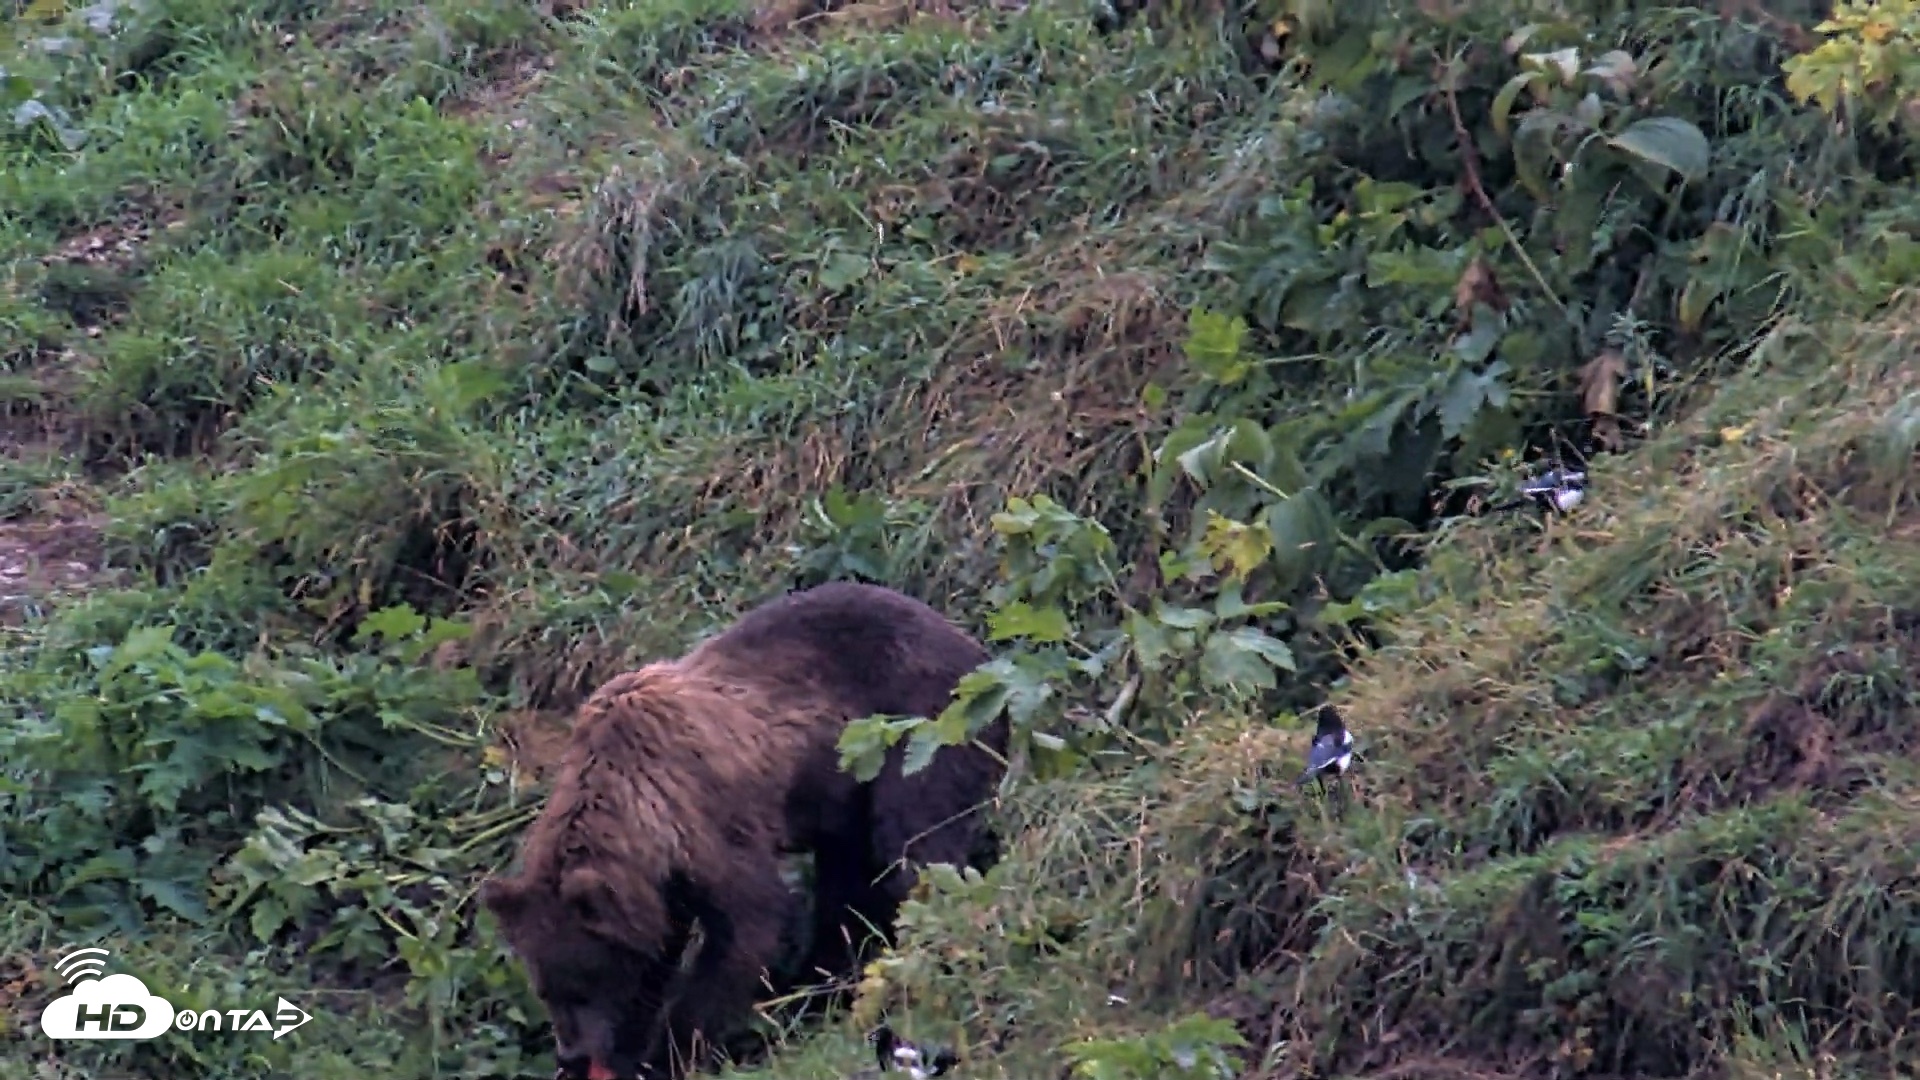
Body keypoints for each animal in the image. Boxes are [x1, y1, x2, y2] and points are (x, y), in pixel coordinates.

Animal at [479, 581, 1007, 1080]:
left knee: (914, 853)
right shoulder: (660, 886)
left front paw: (671, 1052)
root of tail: (980, 650)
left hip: (917, 729)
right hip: (848, 788)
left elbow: (749, 924)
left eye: (583, 983)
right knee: (846, 886)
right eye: (545, 988)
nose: (571, 1055)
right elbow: (657, 955)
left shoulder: (709, 822)